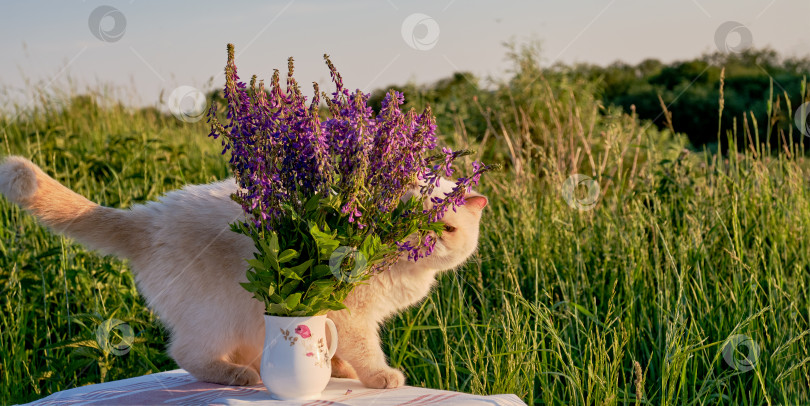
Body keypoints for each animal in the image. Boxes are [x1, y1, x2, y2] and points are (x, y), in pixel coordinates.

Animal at [0, 155, 486, 386]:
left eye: (443, 226)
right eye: (407, 218)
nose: (420, 239)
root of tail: (148, 215)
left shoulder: (344, 318)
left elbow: (343, 354)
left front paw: (340, 372)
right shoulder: (352, 317)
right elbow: (367, 353)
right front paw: (381, 378)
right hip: (221, 316)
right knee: (187, 354)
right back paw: (241, 378)